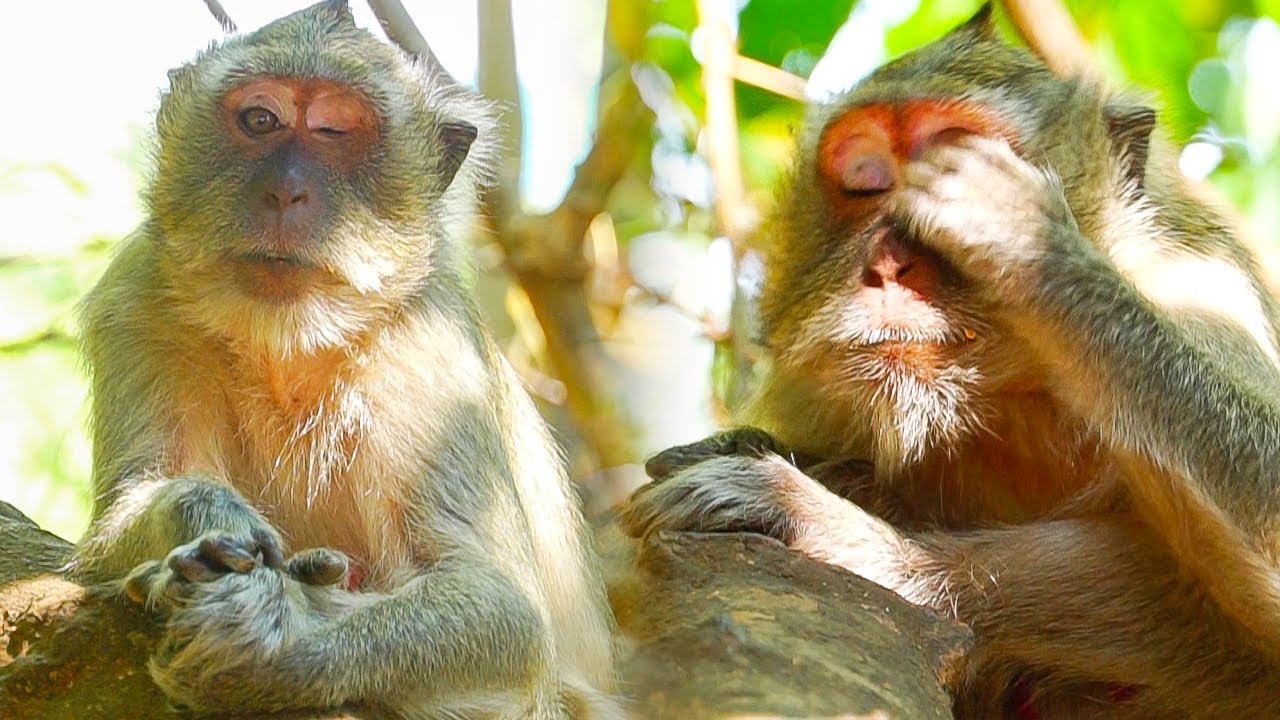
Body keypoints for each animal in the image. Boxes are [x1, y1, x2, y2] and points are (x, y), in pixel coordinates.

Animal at [65, 3, 620, 718]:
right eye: (260, 120)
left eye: (333, 130)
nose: (284, 192)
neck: (288, 346)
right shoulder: (137, 301)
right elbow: (108, 536)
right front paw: (207, 519)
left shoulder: (432, 350)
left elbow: (502, 609)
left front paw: (278, 635)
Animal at [622, 6, 1280, 718]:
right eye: (865, 178)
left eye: (946, 152)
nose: (887, 266)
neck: (1015, 402)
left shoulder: (1199, 289)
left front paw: (1028, 241)